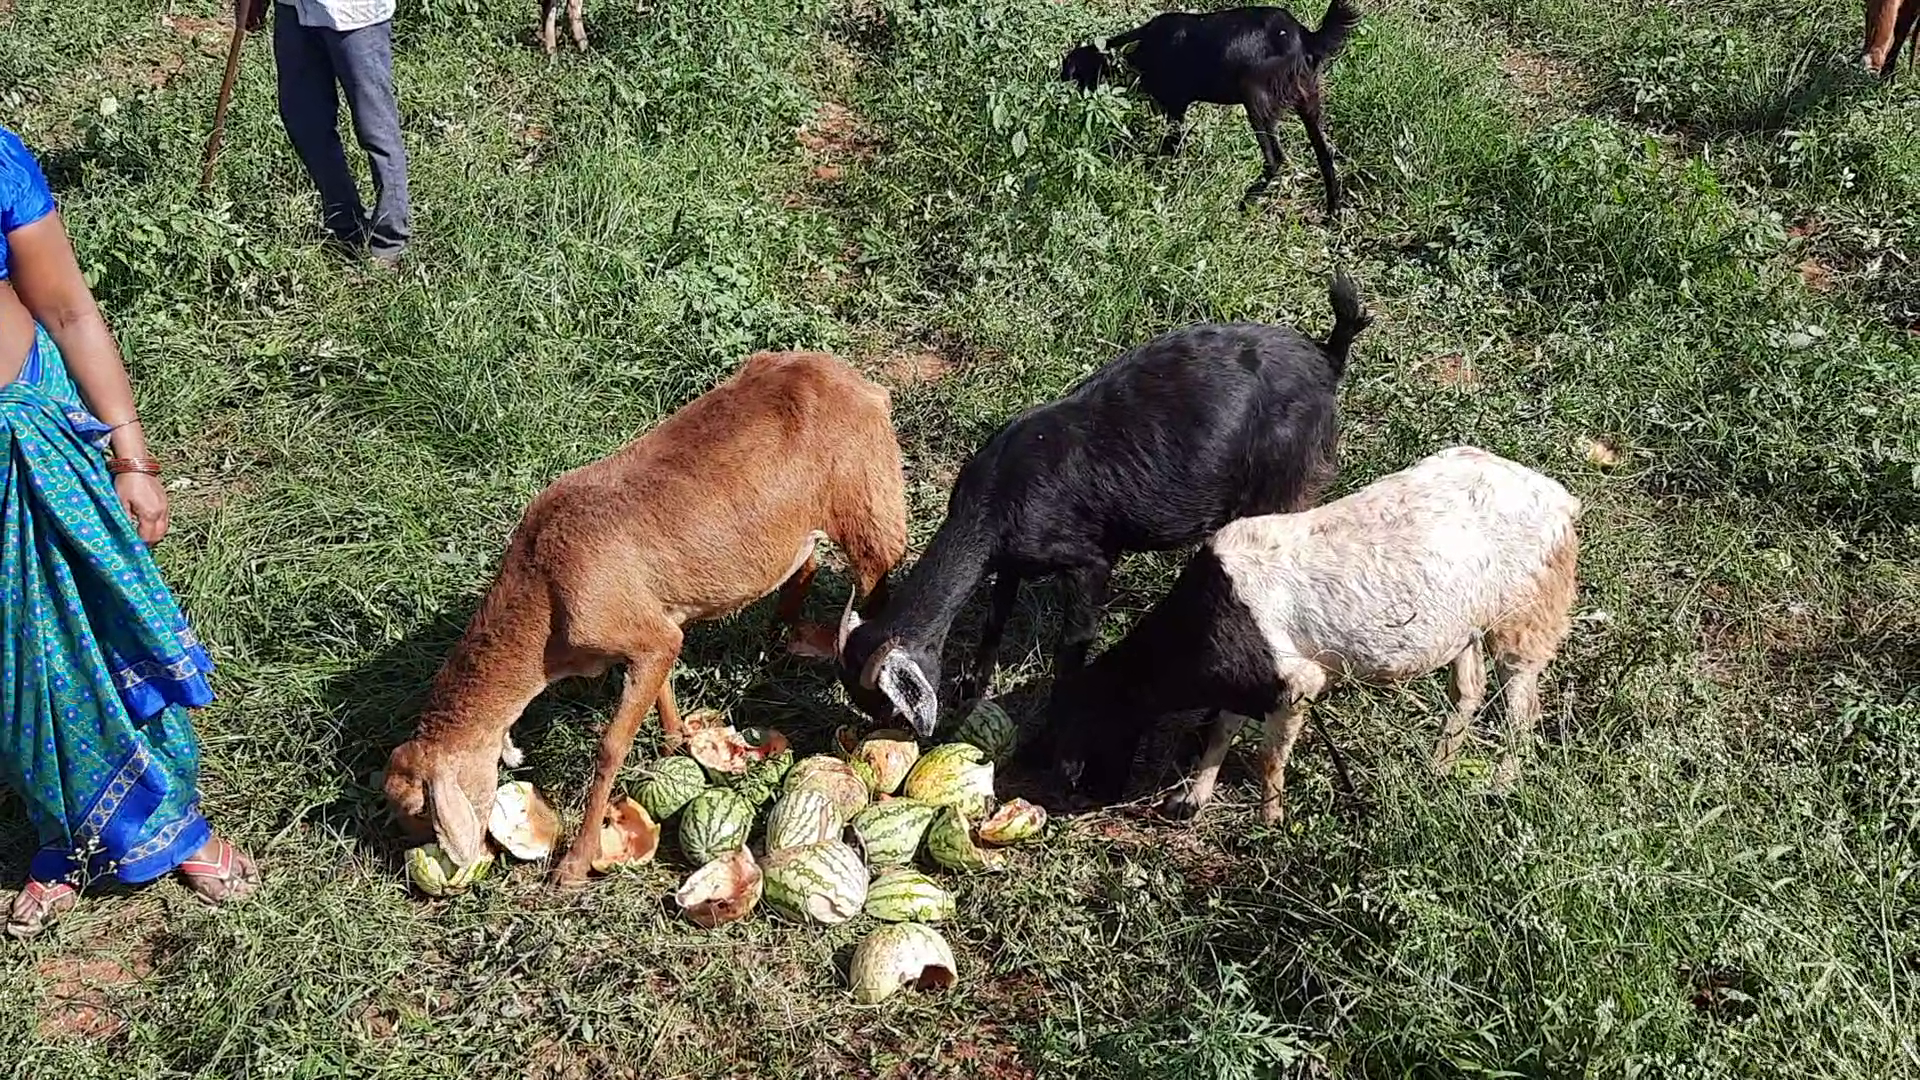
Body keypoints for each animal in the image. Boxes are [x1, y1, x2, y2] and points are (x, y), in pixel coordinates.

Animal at [385, 351, 910, 883]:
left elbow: (611, 747)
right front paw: (677, 740)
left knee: (877, 577)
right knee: (805, 563)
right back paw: (778, 637)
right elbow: (662, 679)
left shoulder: (632, 629)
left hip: (869, 495)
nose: (410, 860)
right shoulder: (653, 629)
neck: (544, 587)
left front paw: (573, 865)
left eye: (420, 809)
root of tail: (859, 383)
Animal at [837, 272, 1367, 737]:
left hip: (1284, 480)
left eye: (888, 703)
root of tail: (1326, 361)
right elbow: (994, 620)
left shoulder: (1088, 562)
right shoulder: (1009, 560)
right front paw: (971, 690)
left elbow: (1071, 648)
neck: (995, 499)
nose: (890, 733)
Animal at [1052, 443, 1574, 814]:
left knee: (1521, 709)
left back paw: (1500, 783)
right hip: (1463, 624)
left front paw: (1270, 820)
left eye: (1095, 726)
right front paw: (1192, 798)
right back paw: (1437, 766)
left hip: (1527, 617)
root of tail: (1560, 499)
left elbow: (1267, 756)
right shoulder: (1251, 678)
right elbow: (1222, 728)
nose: (1082, 797)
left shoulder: (1296, 683)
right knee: (1468, 689)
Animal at [1067, 1, 1367, 213]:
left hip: (1256, 98)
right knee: (1324, 155)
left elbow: (1171, 145)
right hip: (1309, 101)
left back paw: (1246, 202)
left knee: (1275, 158)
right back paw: (1333, 211)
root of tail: (1306, 37)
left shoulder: (1175, 106)